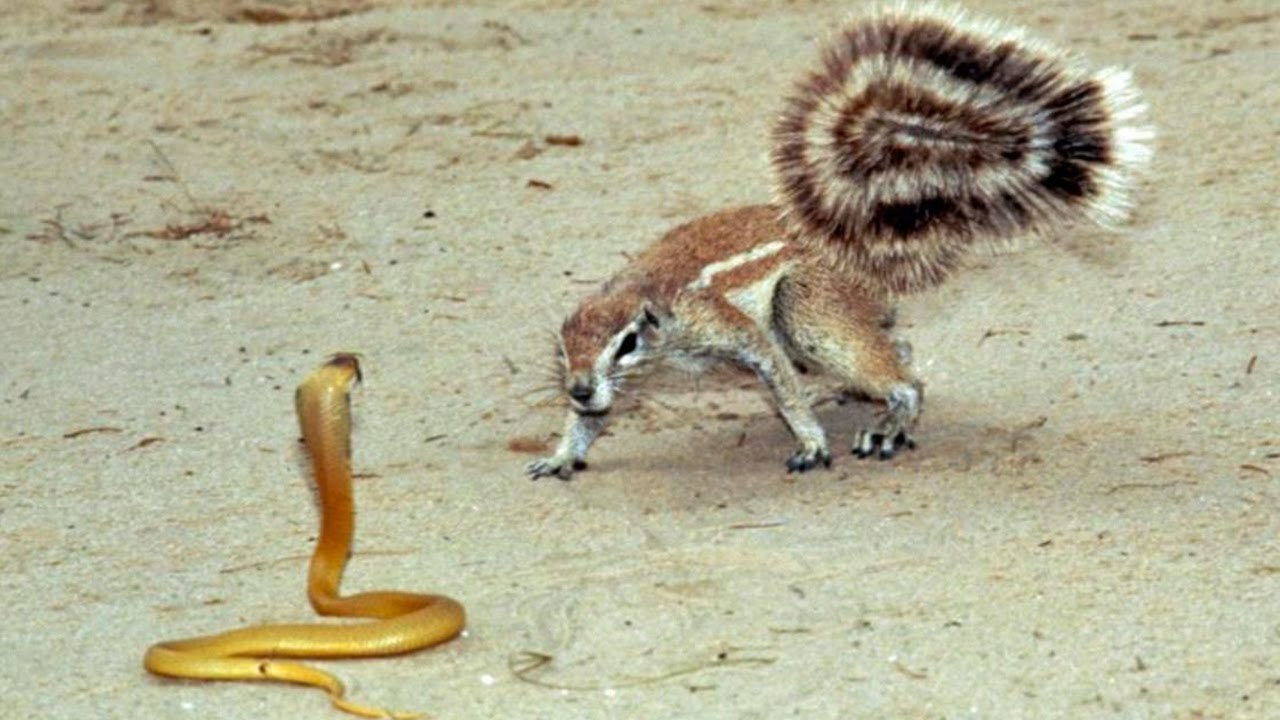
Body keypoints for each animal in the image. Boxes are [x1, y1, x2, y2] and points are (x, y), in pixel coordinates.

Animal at [527, 5, 1153, 480]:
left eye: (628, 343)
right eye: (561, 350)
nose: (577, 387)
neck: (650, 298)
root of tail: (851, 239)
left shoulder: (724, 325)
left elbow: (774, 376)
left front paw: (809, 441)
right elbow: (594, 419)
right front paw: (562, 453)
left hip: (807, 310)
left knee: (901, 376)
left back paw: (890, 419)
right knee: (895, 347)